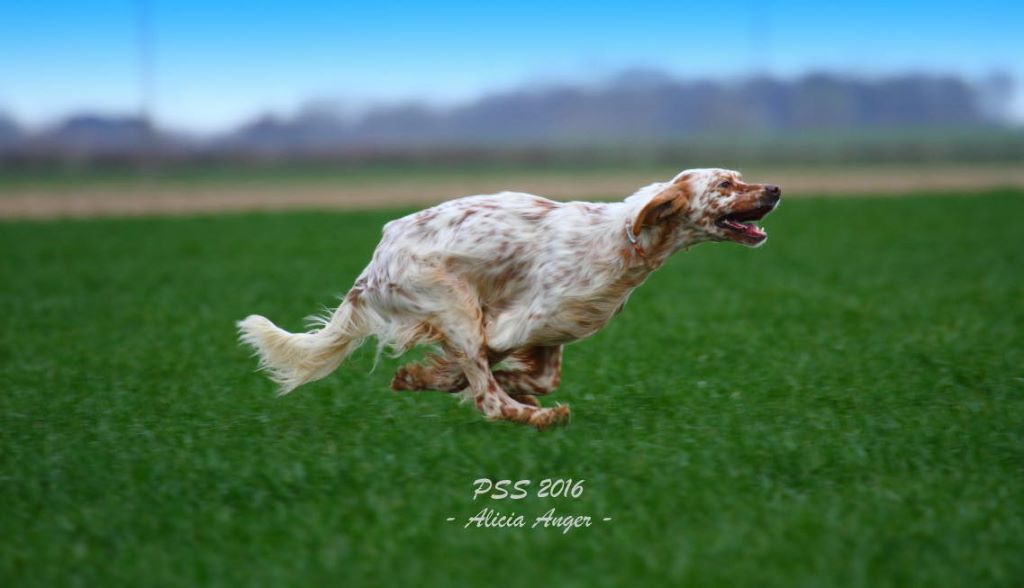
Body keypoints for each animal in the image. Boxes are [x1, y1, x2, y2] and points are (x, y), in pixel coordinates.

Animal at [238, 168, 780, 429]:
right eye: (726, 184)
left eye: (740, 178)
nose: (775, 188)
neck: (623, 239)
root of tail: (373, 265)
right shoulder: (509, 325)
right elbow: (479, 378)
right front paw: (430, 378)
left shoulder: (547, 331)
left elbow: (538, 376)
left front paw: (429, 377)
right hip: (455, 306)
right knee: (490, 401)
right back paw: (540, 418)